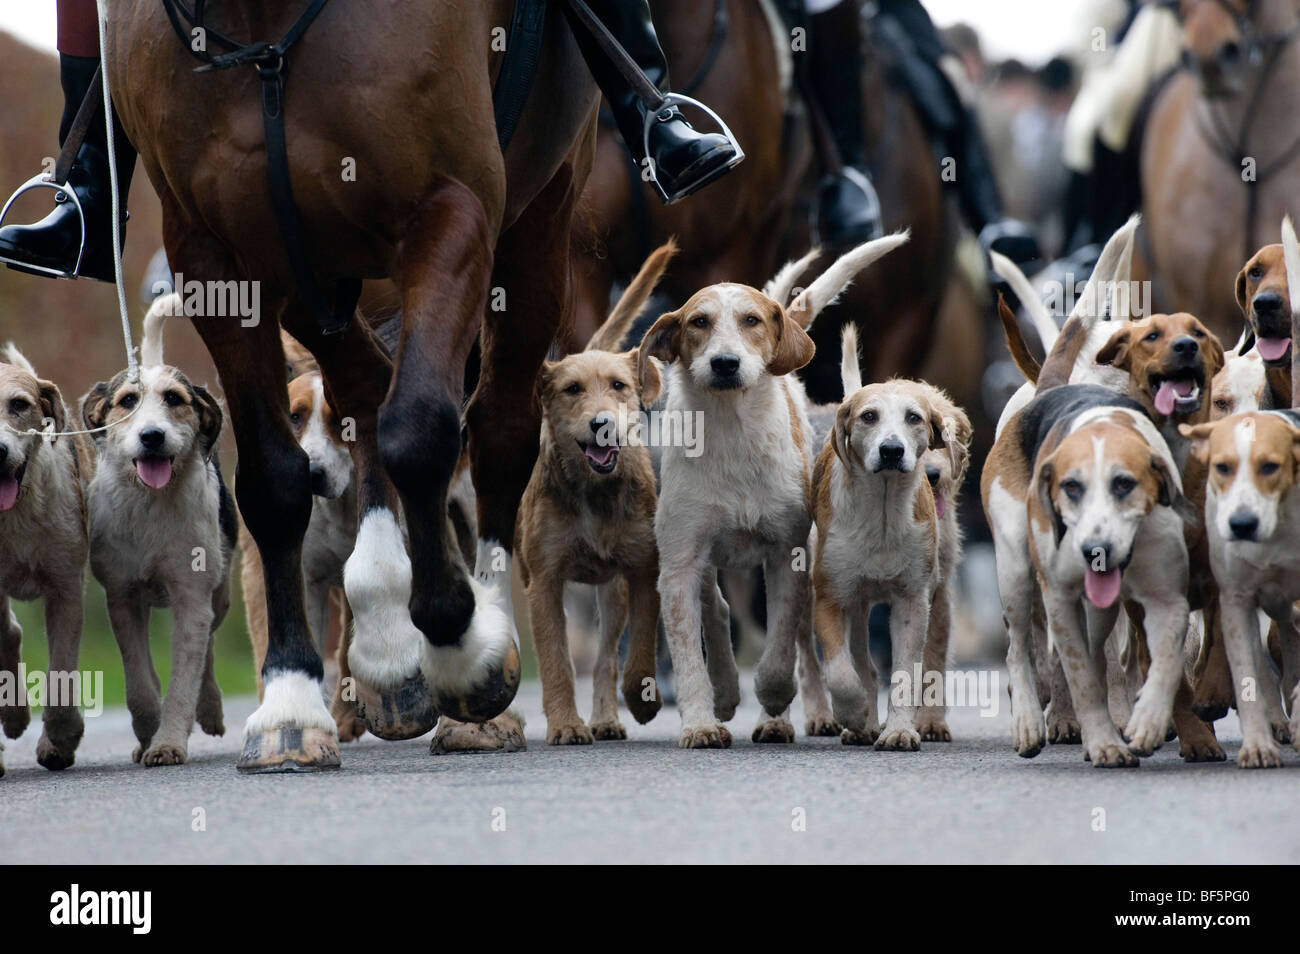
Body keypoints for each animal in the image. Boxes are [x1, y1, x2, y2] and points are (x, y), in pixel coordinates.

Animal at [104, 3, 600, 774]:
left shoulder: (450, 209)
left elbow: (420, 431)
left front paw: (463, 647)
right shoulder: (217, 258)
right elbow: (274, 481)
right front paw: (290, 705)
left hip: (539, 223)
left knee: (496, 427)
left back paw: (471, 627)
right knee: (365, 389)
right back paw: (387, 635)